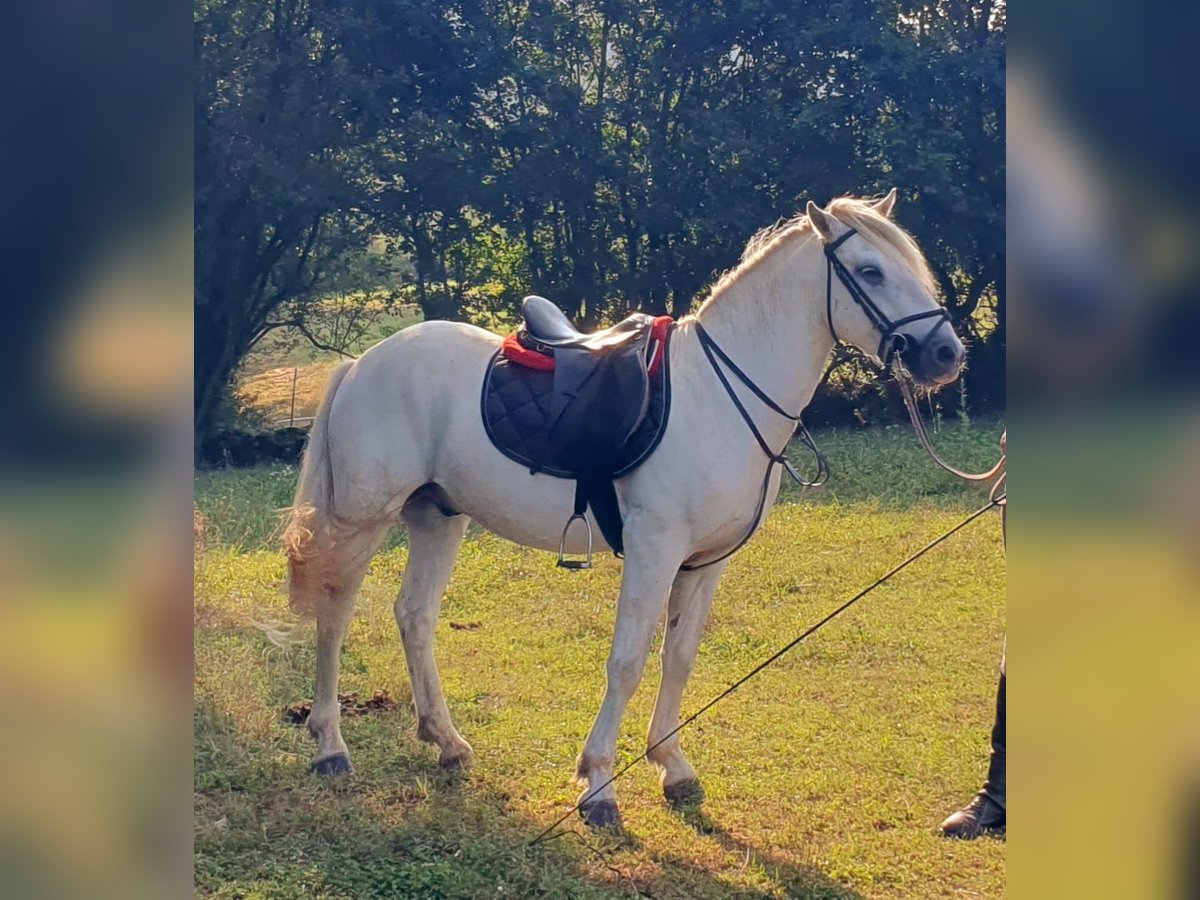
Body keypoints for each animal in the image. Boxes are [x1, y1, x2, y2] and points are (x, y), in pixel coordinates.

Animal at [280, 194, 964, 830]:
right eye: (871, 271)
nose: (945, 355)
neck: (722, 394)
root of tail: (363, 363)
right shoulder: (654, 552)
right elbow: (627, 662)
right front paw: (599, 785)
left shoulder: (706, 563)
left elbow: (678, 658)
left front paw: (674, 768)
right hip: (362, 520)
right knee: (334, 612)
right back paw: (330, 745)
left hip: (438, 516)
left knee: (415, 615)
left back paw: (445, 741)